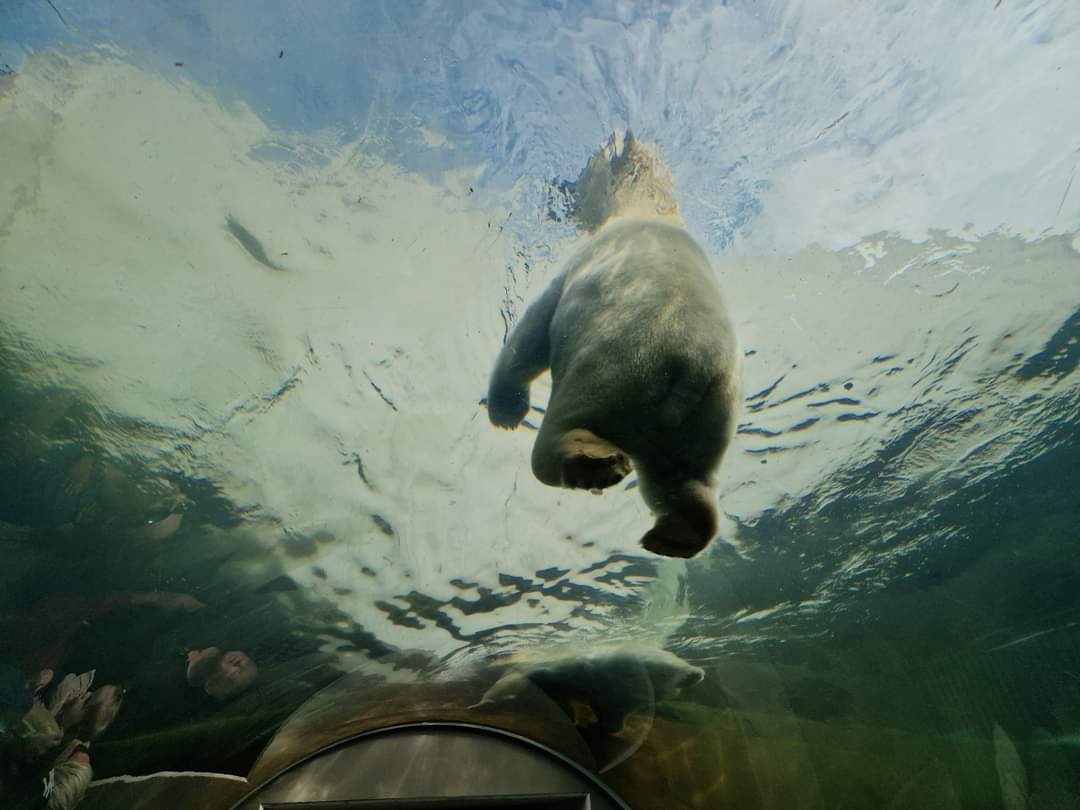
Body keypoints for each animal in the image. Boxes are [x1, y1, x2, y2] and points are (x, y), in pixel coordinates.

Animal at [487, 132, 741, 558]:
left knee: (566, 424)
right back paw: (672, 535)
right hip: (708, 416)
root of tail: (691, 367)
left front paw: (506, 410)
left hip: (617, 364)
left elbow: (531, 335)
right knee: (682, 481)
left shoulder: (577, 270)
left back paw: (593, 464)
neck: (647, 209)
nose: (558, 193)